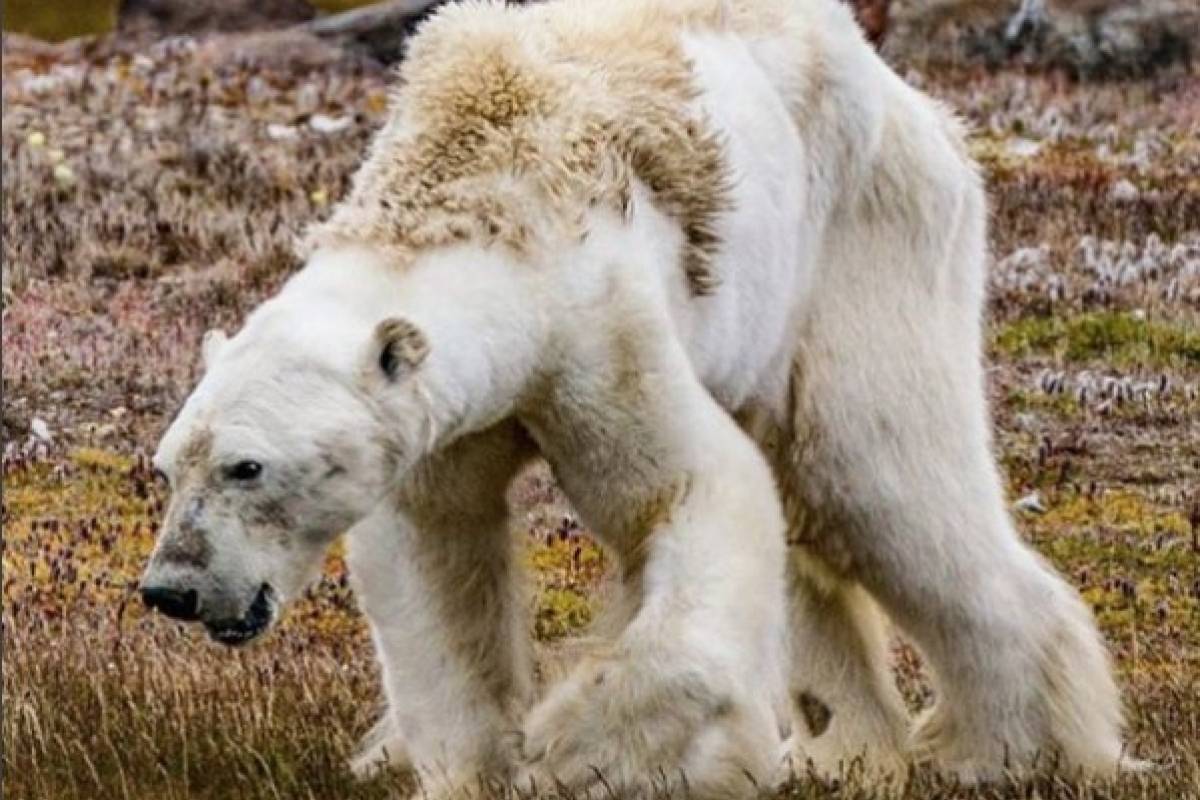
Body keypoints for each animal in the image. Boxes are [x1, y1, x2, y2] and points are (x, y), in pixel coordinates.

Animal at [138, 0, 1123, 791]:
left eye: (247, 467)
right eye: (168, 467)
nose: (171, 589)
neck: (478, 184)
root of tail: (917, 105)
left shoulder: (596, 328)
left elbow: (689, 491)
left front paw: (580, 749)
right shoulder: (442, 422)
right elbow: (435, 557)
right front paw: (472, 766)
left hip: (862, 241)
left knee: (877, 480)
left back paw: (1012, 752)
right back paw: (845, 751)